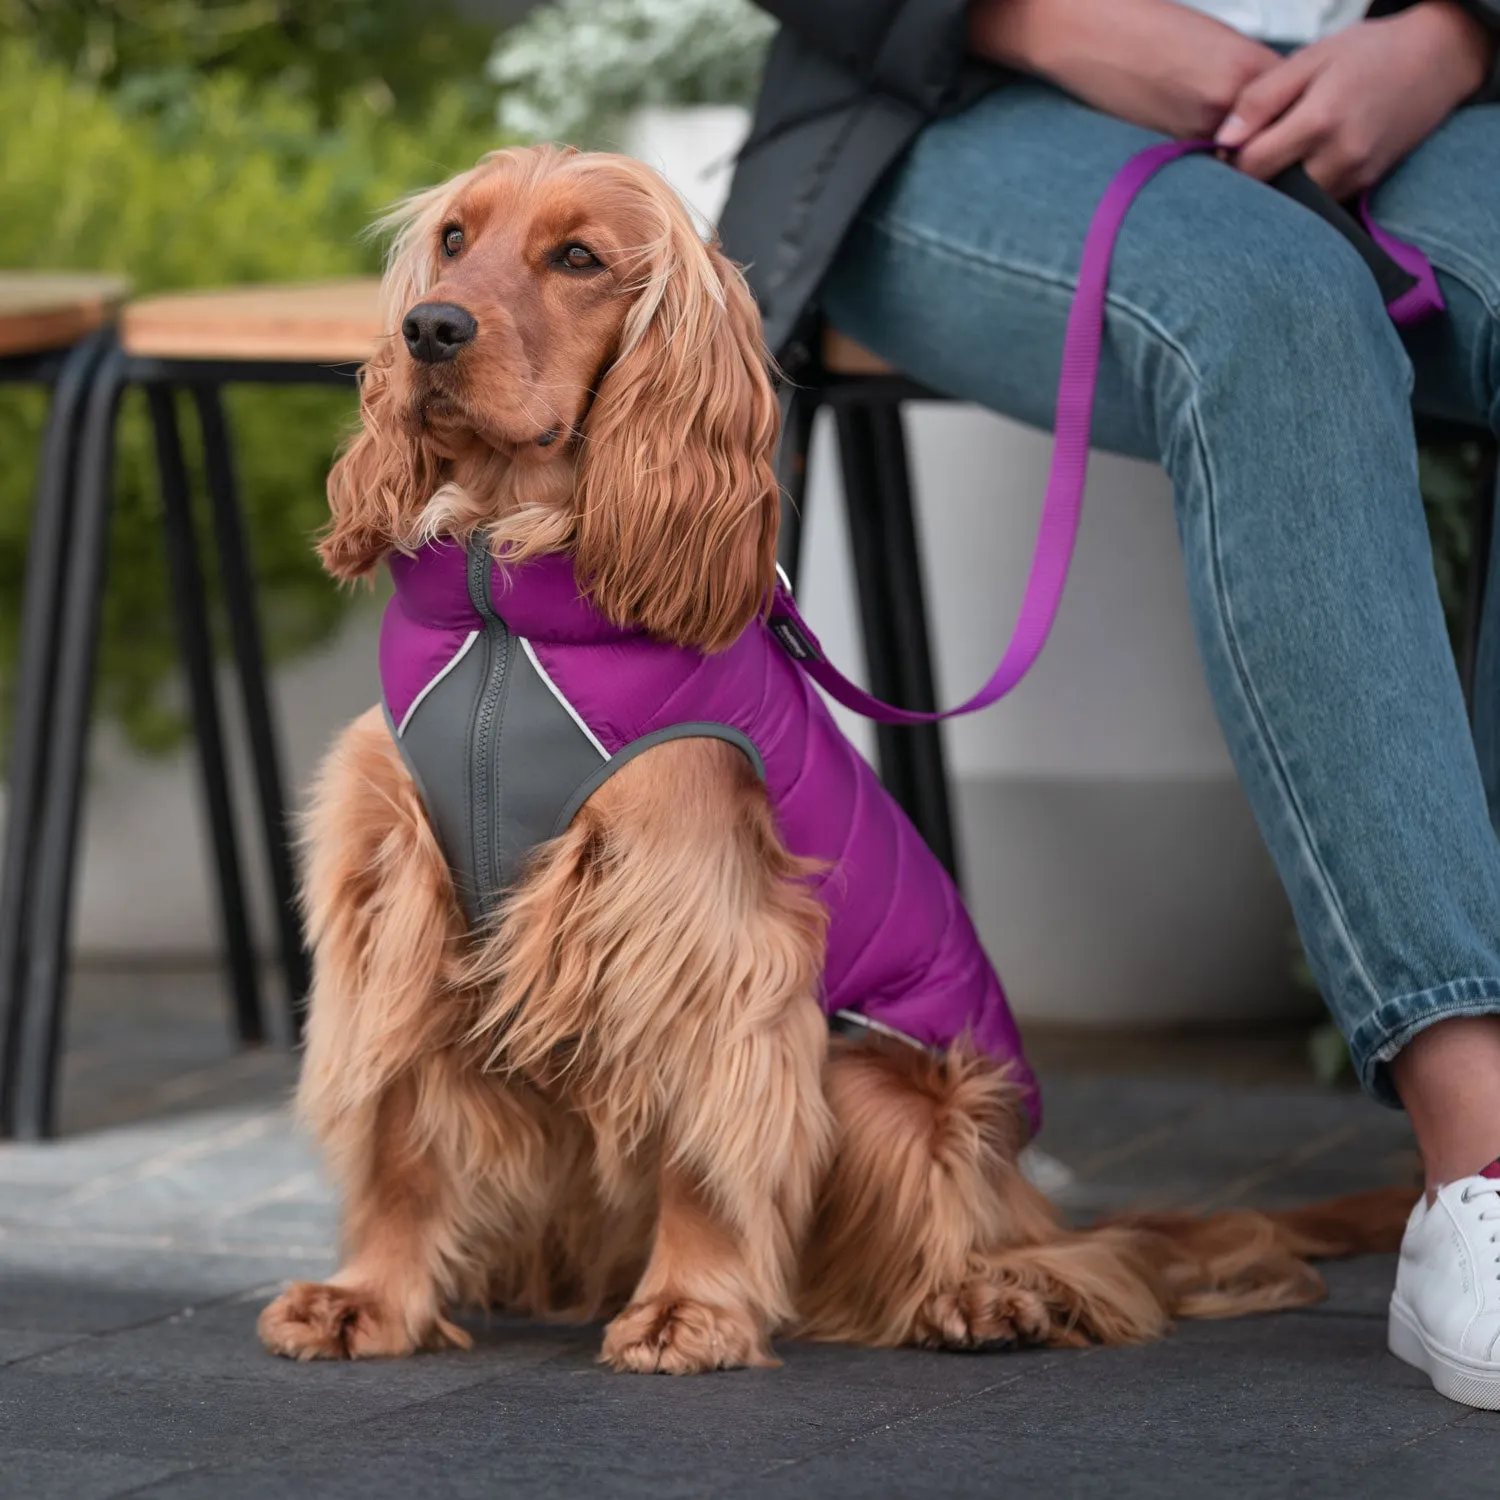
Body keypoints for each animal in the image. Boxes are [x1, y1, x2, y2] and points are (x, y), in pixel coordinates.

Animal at [261, 146, 1416, 1374]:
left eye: (577, 258)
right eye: (453, 240)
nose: (429, 330)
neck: (502, 599)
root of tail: (1029, 1201)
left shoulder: (698, 926)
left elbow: (708, 1142)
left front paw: (690, 1310)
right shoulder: (397, 904)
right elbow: (398, 1130)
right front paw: (368, 1296)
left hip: (881, 1081)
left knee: (1062, 1258)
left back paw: (983, 1297)